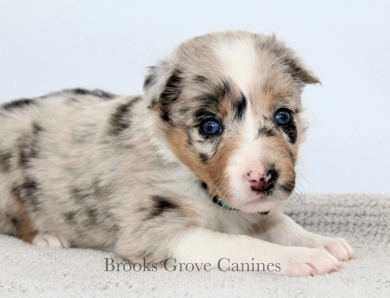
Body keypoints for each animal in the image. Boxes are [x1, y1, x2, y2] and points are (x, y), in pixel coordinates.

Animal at [0, 31, 354, 276]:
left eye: (283, 116)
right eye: (210, 126)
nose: (263, 178)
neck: (204, 188)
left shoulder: (253, 212)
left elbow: (283, 225)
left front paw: (323, 242)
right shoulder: (155, 231)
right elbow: (242, 243)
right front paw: (302, 257)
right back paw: (48, 237)